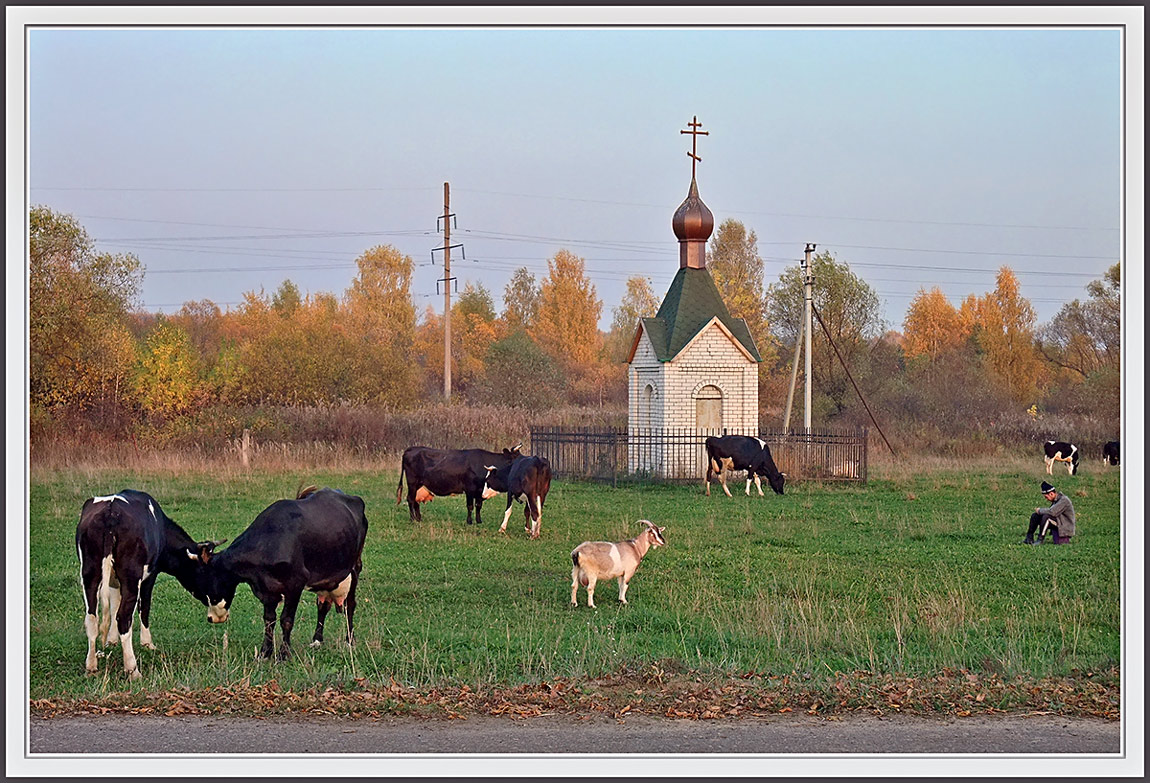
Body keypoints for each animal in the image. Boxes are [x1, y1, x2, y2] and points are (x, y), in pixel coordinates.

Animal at [74, 487, 224, 676]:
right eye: (208, 571)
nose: (219, 610)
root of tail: (111, 512)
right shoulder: (149, 577)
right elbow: (144, 607)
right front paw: (147, 643)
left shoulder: (114, 581)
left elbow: (114, 605)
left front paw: (111, 641)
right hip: (131, 576)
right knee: (124, 617)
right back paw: (133, 670)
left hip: (90, 574)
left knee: (92, 617)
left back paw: (91, 666)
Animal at [195, 485, 368, 657]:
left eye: (205, 584)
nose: (211, 618)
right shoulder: (267, 590)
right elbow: (269, 620)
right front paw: (265, 652)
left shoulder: (295, 584)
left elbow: (286, 620)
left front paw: (284, 654)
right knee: (322, 606)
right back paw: (317, 640)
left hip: (354, 568)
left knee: (350, 605)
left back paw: (349, 641)